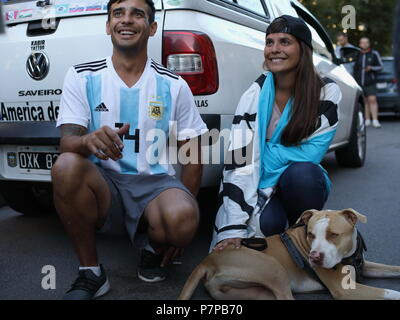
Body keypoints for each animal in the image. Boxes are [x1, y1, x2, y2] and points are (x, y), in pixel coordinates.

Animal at [180, 209, 400, 298]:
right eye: (310, 234)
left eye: (333, 235)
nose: (314, 257)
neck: (349, 255)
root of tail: (208, 260)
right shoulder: (345, 289)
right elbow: (389, 291)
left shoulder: (367, 265)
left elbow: (392, 268)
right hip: (274, 268)